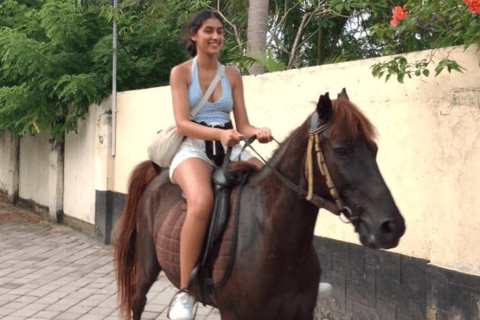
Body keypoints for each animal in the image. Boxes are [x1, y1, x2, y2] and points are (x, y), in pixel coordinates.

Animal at [112, 89, 404, 320]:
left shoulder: (299, 311)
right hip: (147, 265)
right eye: (342, 150)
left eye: (375, 150)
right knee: (137, 301)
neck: (273, 239)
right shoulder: (236, 314)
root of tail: (158, 174)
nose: (391, 227)